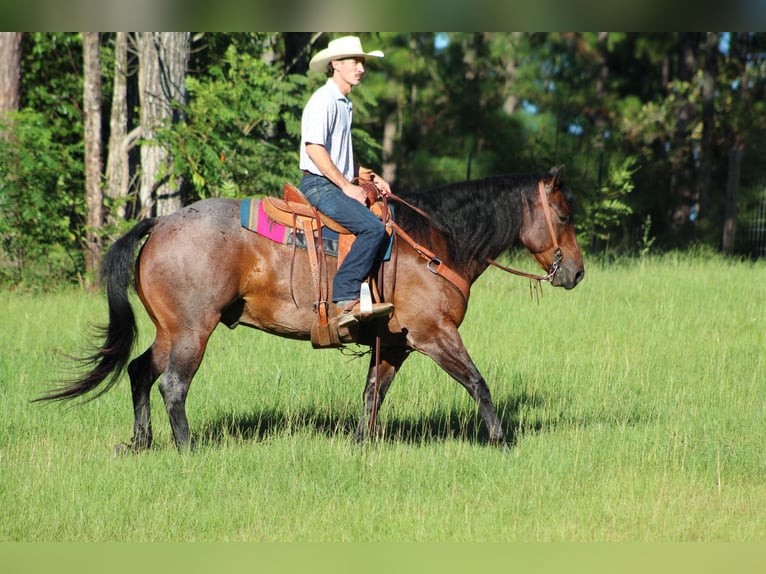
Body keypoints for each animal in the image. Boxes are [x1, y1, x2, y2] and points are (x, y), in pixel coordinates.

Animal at [39, 165, 584, 450]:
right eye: (563, 214)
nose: (576, 273)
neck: (436, 242)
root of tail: (161, 222)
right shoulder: (434, 333)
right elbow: (478, 383)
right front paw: (501, 440)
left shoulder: (396, 344)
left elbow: (372, 395)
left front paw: (363, 445)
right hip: (194, 330)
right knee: (173, 384)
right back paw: (187, 448)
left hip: (170, 330)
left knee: (138, 371)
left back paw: (142, 442)